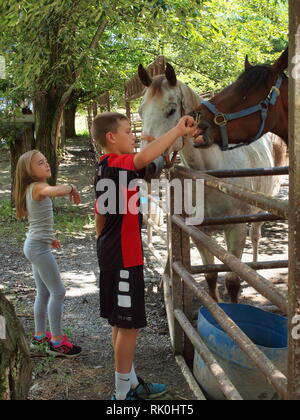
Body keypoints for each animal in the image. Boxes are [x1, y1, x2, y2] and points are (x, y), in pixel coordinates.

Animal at [138, 63, 286, 302]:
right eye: (141, 112)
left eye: (171, 110)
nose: (145, 165)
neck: (212, 177)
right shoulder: (200, 233)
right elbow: (210, 277)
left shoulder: (236, 230)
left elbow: (232, 281)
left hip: (263, 209)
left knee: (255, 236)